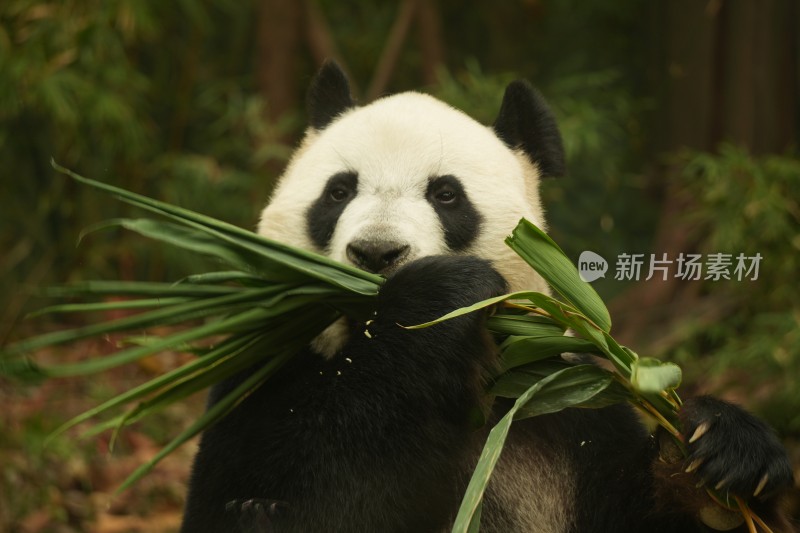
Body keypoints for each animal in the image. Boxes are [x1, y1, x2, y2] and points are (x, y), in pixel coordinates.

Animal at [183, 60, 792, 528]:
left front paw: (721, 455)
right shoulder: (258, 374)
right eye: (338, 191)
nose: (376, 253)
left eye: (446, 195)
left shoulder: (564, 407)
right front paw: (438, 298)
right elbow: (302, 485)